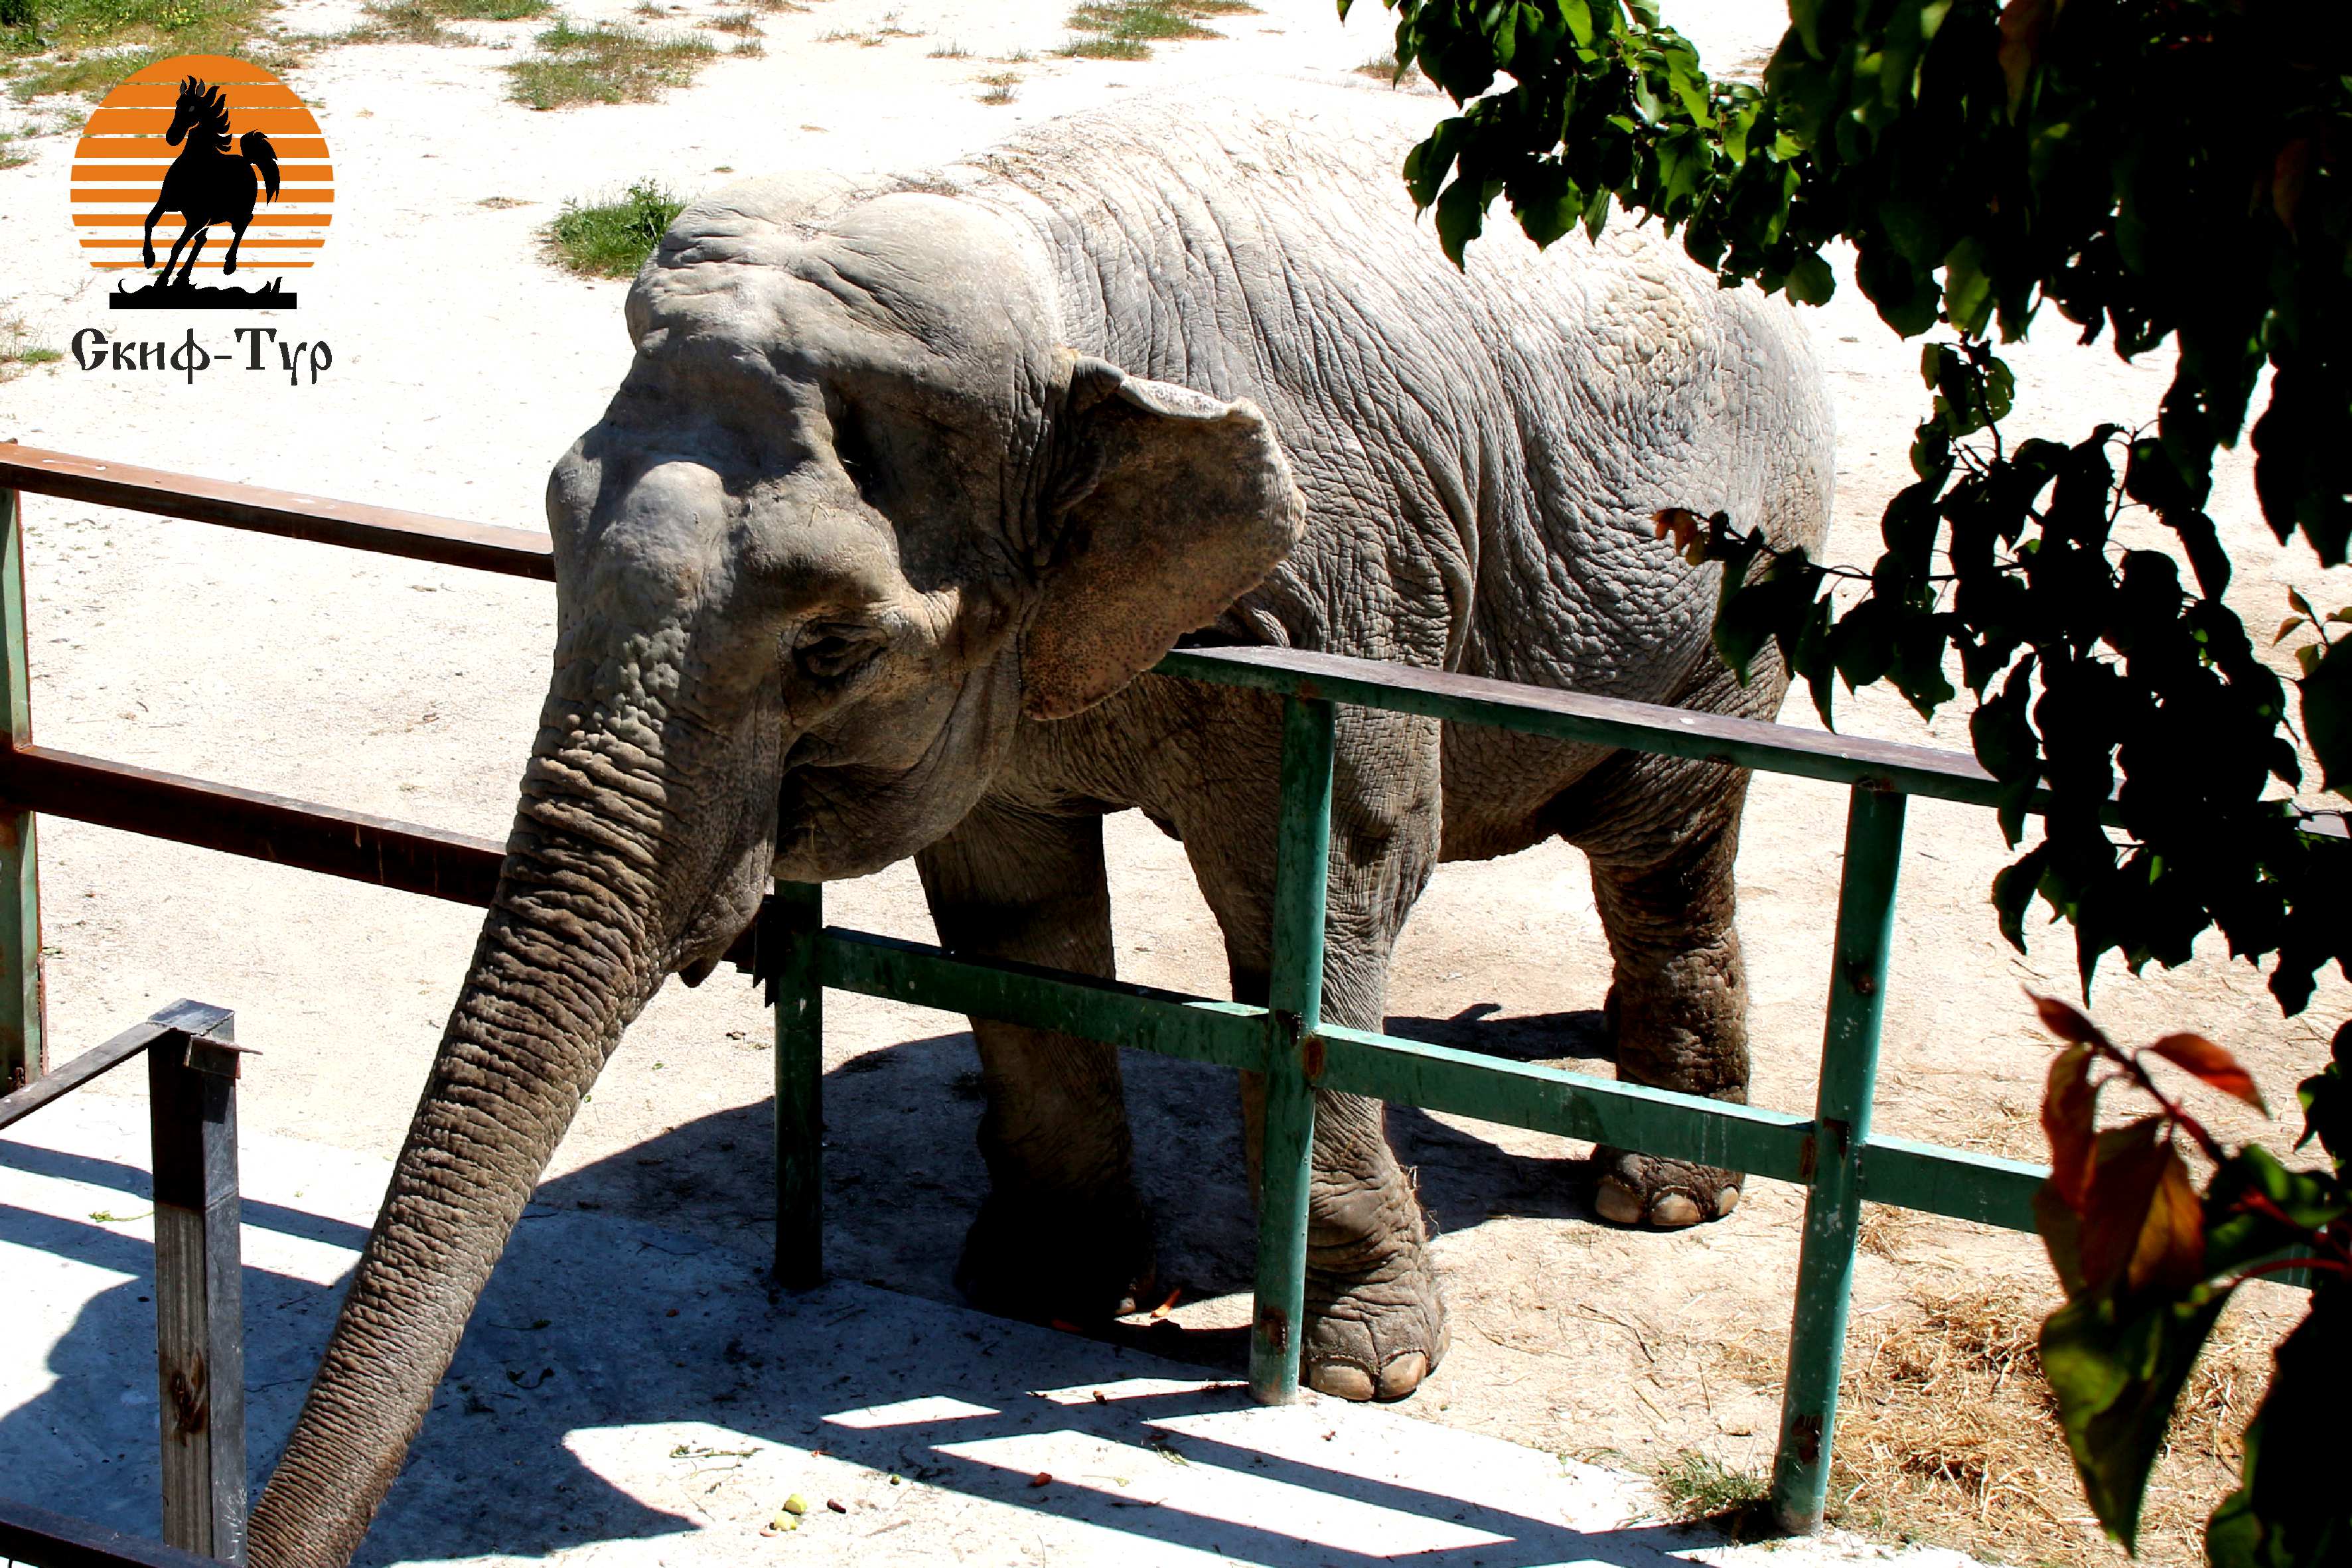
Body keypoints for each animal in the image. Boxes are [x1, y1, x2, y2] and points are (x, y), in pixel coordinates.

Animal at [248, 86, 1825, 1568]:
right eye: (553, 541)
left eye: (831, 649)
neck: (1039, 273)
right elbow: (1010, 909)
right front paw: (1048, 1293)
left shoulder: (1337, 598)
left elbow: (1330, 890)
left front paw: (1365, 1374)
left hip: (1737, 581)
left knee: (1659, 833)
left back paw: (1662, 1198)